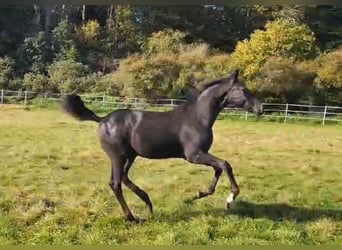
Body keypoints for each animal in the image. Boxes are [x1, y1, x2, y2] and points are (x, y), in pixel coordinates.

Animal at [62, 70, 262, 221]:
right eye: (242, 89)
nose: (260, 108)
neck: (198, 117)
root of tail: (102, 119)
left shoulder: (201, 153)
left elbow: (219, 168)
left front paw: (199, 194)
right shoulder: (194, 155)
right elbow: (225, 164)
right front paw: (230, 198)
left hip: (129, 156)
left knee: (124, 178)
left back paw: (148, 205)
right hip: (117, 156)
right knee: (116, 183)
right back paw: (131, 217)